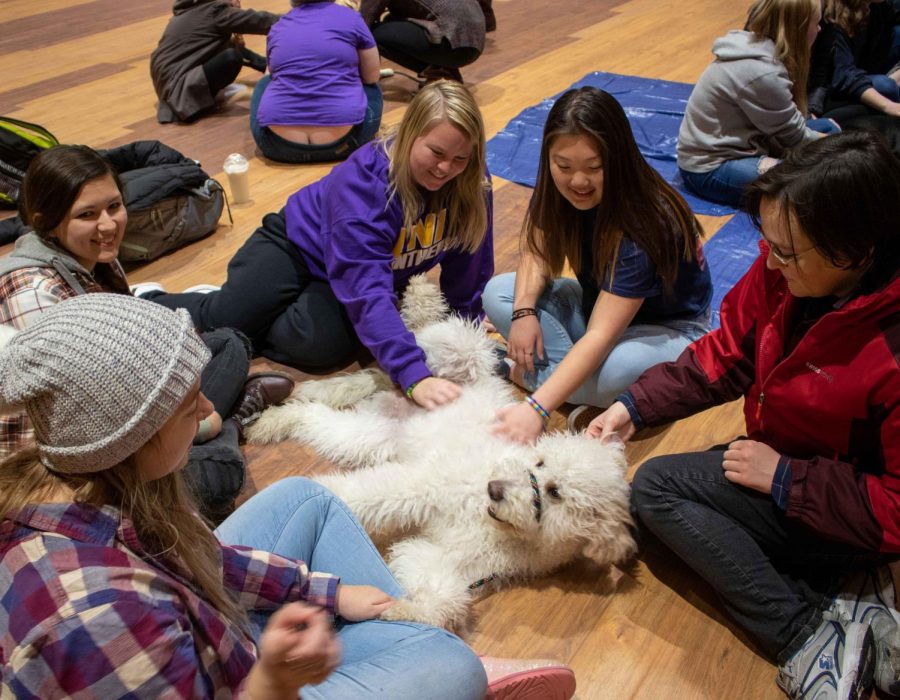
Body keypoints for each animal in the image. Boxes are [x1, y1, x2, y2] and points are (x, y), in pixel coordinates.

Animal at [248, 276, 632, 632]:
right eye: (539, 462)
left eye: (555, 493)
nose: (495, 489)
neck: (493, 523)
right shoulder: (423, 485)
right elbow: (361, 494)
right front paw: (313, 498)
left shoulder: (450, 561)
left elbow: (443, 597)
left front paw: (402, 610)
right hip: (460, 351)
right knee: (416, 340)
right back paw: (420, 297)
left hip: (371, 433)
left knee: (331, 409)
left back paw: (282, 414)